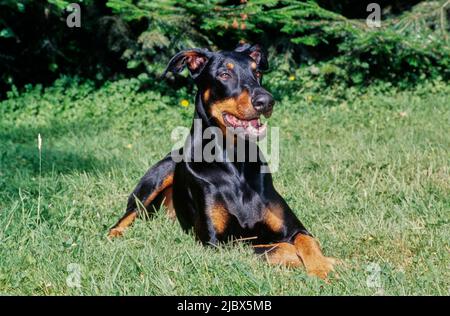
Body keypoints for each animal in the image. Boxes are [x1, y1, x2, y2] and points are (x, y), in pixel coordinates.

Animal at [107, 42, 336, 278]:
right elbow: (275, 248)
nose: (266, 101)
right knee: (127, 214)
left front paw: (323, 265)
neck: (235, 163)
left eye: (257, 72)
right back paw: (114, 235)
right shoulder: (216, 242)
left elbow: (306, 240)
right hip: (156, 178)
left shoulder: (293, 227)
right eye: (224, 74)